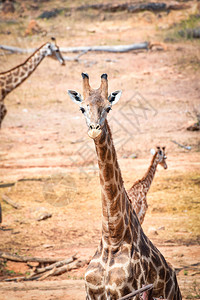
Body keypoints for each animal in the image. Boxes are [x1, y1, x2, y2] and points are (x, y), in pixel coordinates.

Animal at [67, 72, 181, 300]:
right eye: (82, 108)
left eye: (108, 108)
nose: (95, 130)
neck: (112, 239)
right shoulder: (91, 294)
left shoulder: (131, 293)